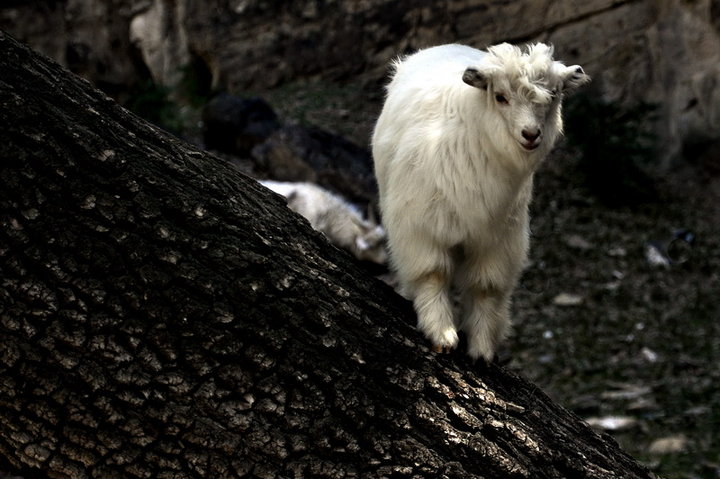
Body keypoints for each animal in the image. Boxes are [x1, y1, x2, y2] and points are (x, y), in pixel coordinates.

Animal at [374, 44, 588, 360]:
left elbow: (485, 289)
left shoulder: (498, 240)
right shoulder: (422, 228)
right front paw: (442, 333)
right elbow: (433, 274)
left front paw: (482, 349)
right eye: (500, 97)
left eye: (553, 96)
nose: (531, 134)